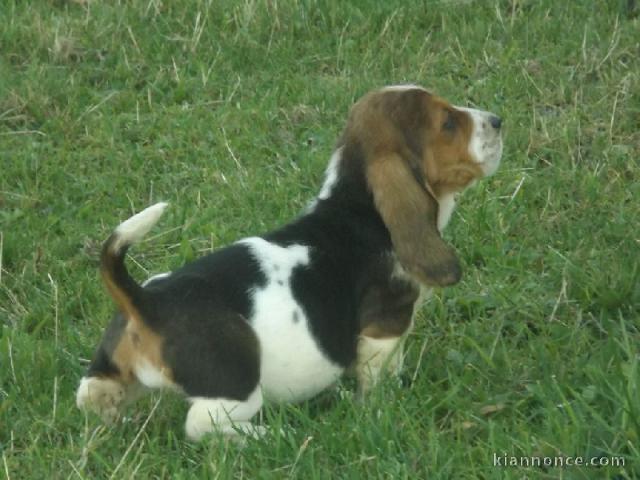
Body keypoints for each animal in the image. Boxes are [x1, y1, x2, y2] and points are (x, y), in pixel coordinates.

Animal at [76, 85, 504, 438]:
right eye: (448, 122)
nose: (498, 120)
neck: (357, 205)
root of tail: (146, 302)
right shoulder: (385, 328)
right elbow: (379, 374)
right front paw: (386, 405)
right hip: (236, 378)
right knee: (202, 424)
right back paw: (268, 435)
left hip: (111, 367)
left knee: (90, 392)